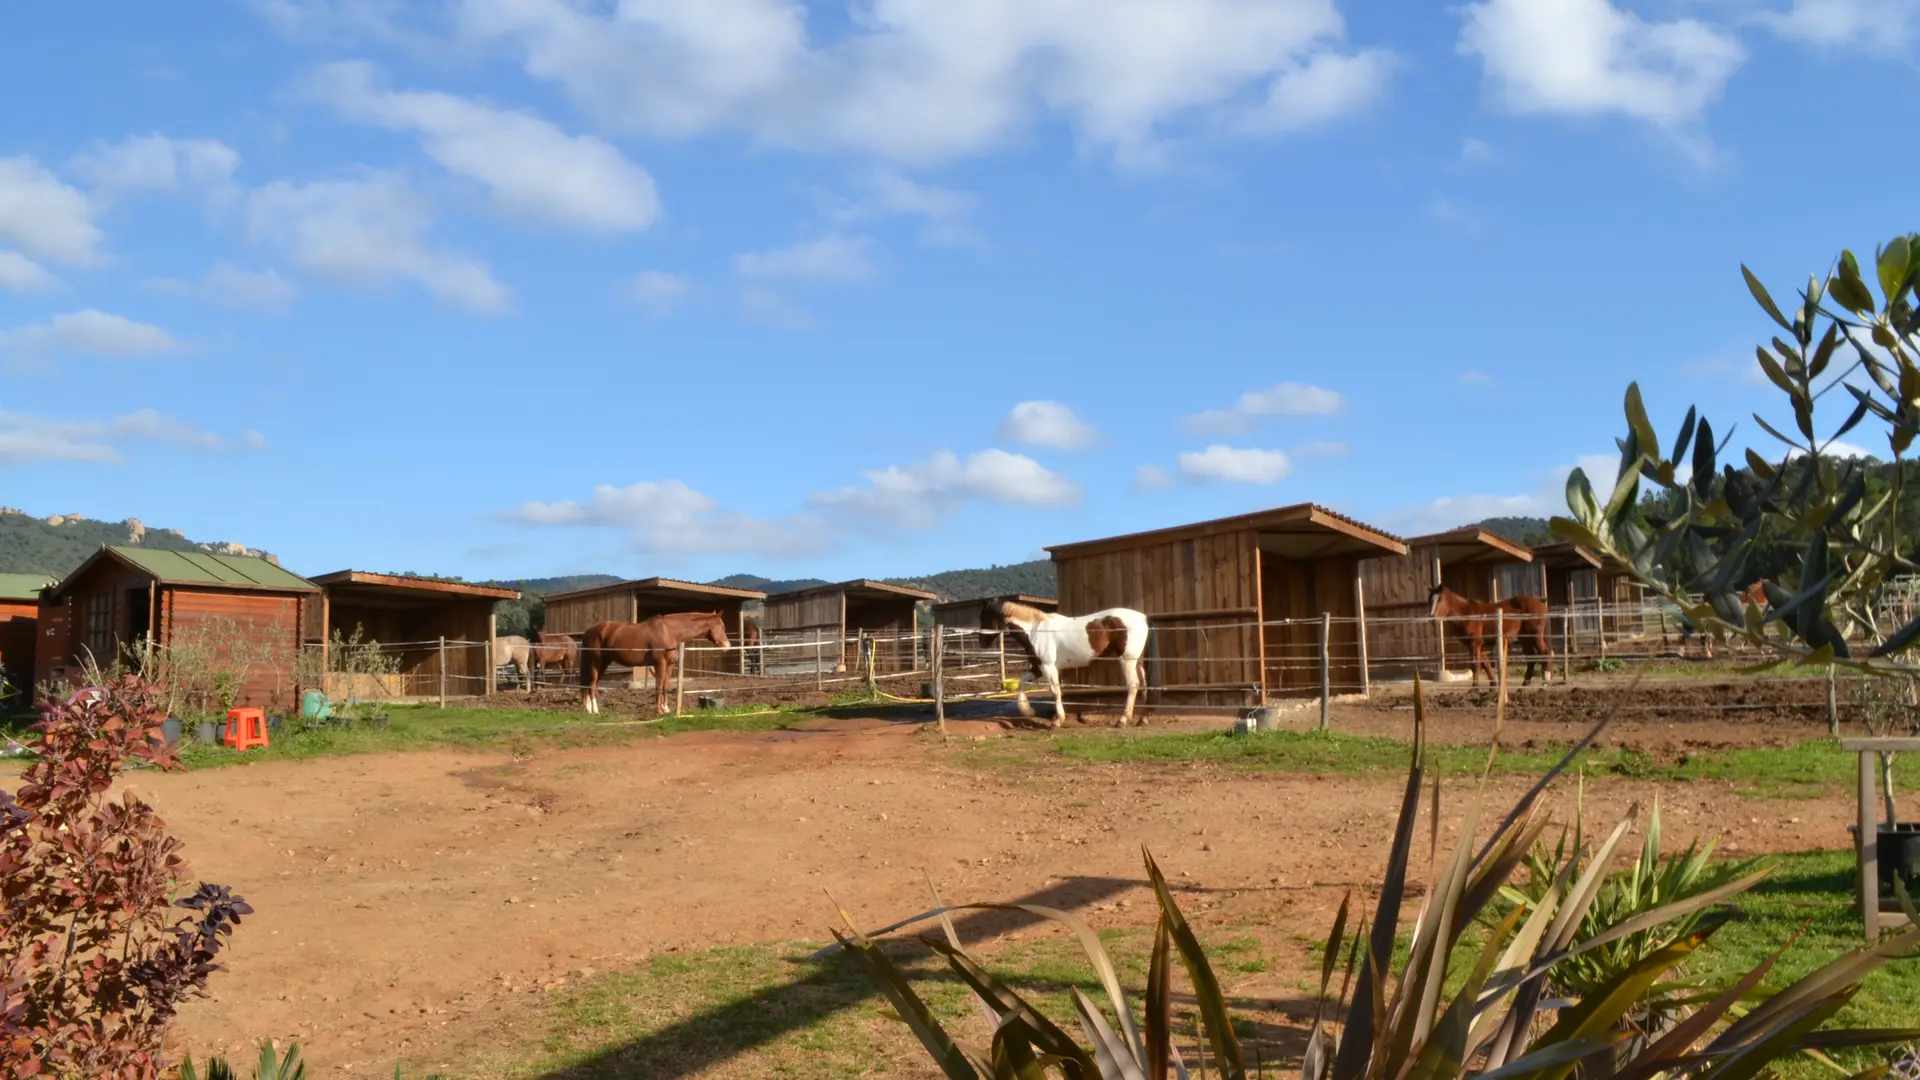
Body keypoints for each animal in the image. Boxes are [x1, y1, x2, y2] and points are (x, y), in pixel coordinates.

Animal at [576, 611, 725, 711]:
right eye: (722, 626)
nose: (726, 645)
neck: (669, 631)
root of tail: (589, 631)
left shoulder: (669, 665)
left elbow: (665, 686)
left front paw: (666, 709)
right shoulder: (660, 664)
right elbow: (658, 686)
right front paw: (658, 711)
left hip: (603, 663)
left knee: (590, 684)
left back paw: (588, 708)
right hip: (596, 663)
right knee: (592, 684)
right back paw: (595, 710)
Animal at [983, 595, 1144, 722]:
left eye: (983, 616)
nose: (982, 642)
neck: (1035, 630)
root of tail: (1143, 618)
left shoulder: (1048, 667)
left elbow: (1055, 692)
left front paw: (1058, 720)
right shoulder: (1039, 667)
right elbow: (1022, 681)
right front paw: (1027, 711)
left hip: (1127, 660)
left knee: (1133, 685)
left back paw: (1123, 719)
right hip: (1137, 661)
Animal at [1428, 584, 1559, 684]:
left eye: (1440, 599)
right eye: (1430, 600)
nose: (1432, 619)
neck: (1466, 614)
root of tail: (1541, 604)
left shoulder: (1474, 643)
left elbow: (1475, 665)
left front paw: (1475, 689)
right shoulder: (1480, 645)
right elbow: (1485, 664)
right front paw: (1493, 684)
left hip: (1534, 636)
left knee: (1546, 653)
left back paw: (1545, 682)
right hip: (1525, 639)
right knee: (1531, 658)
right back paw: (1525, 684)